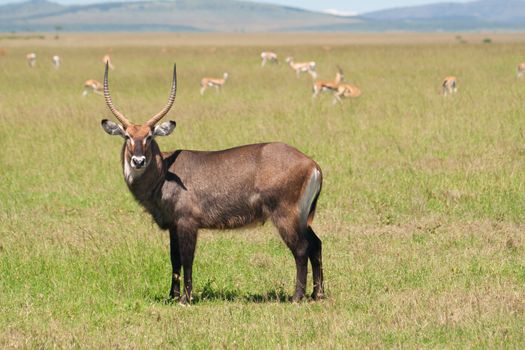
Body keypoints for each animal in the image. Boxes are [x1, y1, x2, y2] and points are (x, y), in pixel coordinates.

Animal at [99, 63, 324, 304]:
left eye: (150, 136)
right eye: (127, 136)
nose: (138, 161)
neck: (164, 172)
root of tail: (312, 163)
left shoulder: (187, 222)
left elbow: (187, 259)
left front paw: (185, 299)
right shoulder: (173, 225)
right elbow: (174, 259)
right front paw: (172, 296)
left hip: (286, 216)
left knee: (301, 249)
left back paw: (297, 297)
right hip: (302, 217)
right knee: (316, 244)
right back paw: (317, 294)